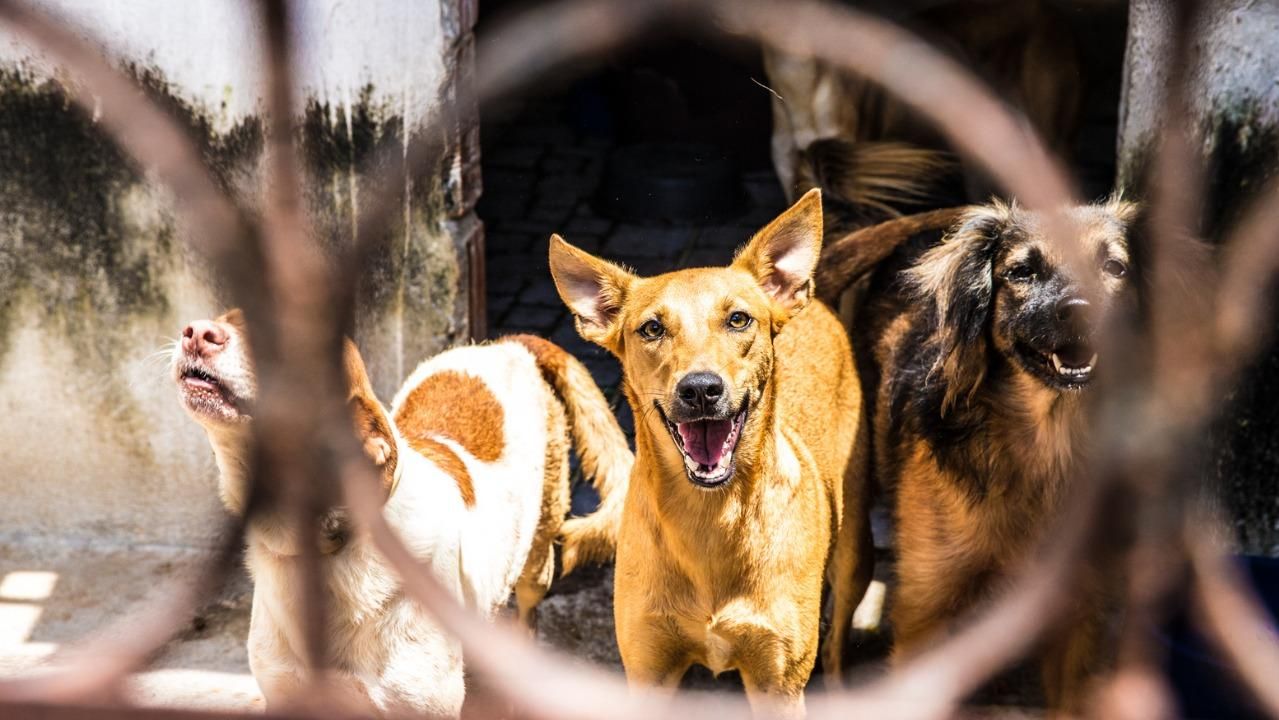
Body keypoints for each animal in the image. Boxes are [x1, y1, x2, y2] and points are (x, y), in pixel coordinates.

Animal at [544, 190, 874, 716]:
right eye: (651, 328)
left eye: (738, 319)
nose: (701, 389)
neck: (710, 521)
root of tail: (814, 297)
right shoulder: (648, 669)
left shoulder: (778, 683)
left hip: (855, 554)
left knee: (840, 648)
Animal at [823, 198, 1145, 716]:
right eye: (1022, 272)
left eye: (1114, 267)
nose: (1079, 311)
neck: (1047, 440)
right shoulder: (924, 607)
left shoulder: (1079, 612)